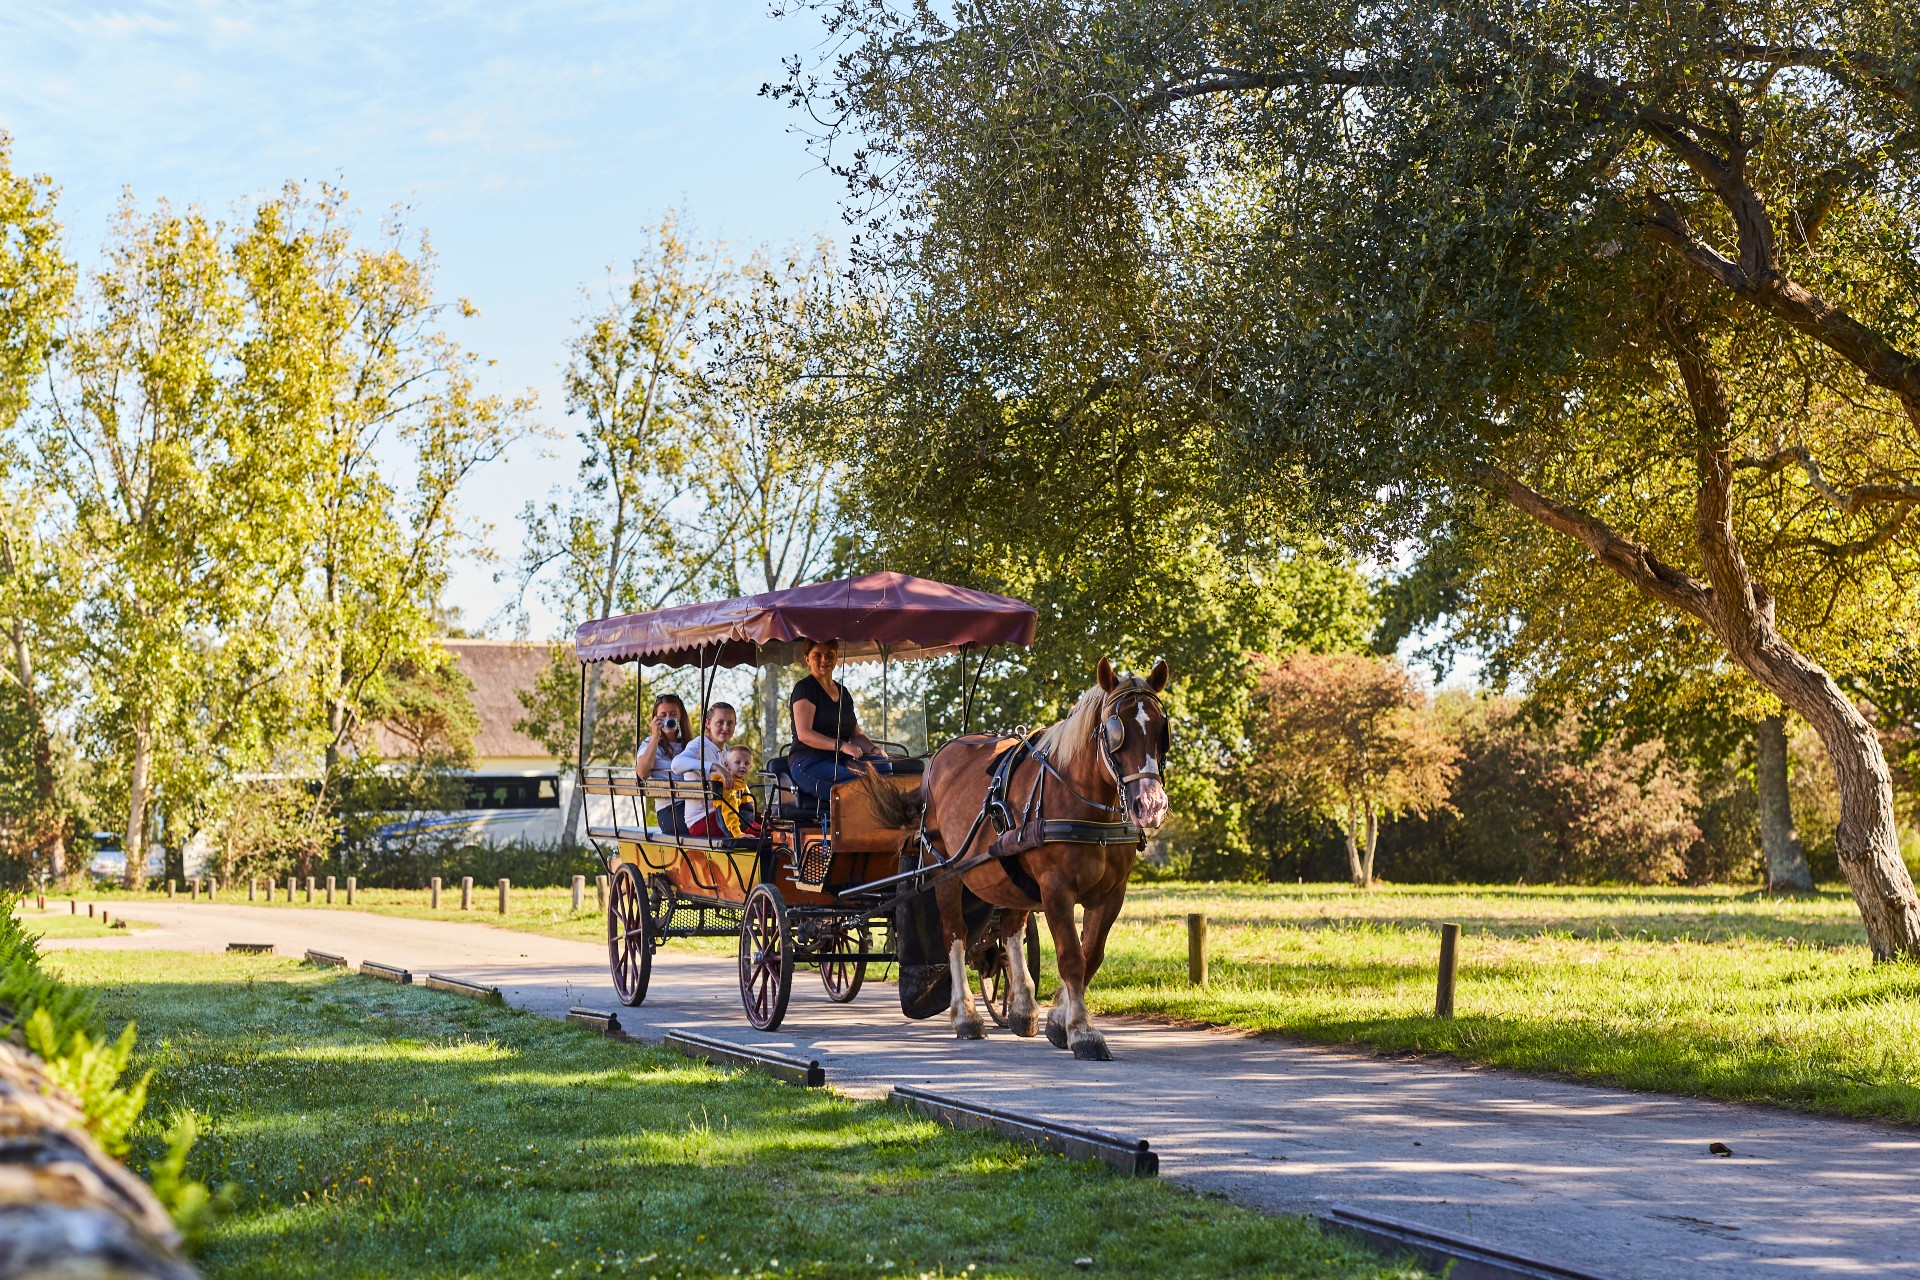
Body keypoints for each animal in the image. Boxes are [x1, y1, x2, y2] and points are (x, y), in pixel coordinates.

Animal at [871, 660, 1167, 1059]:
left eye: (1161, 727)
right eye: (1115, 730)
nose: (1150, 806)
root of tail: (940, 756)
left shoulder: (1111, 895)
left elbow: (1091, 955)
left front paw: (1058, 1020)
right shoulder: (1056, 890)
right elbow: (1071, 957)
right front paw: (1082, 1031)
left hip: (1012, 876)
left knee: (1010, 928)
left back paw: (1023, 1007)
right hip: (946, 870)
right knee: (955, 935)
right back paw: (966, 1016)